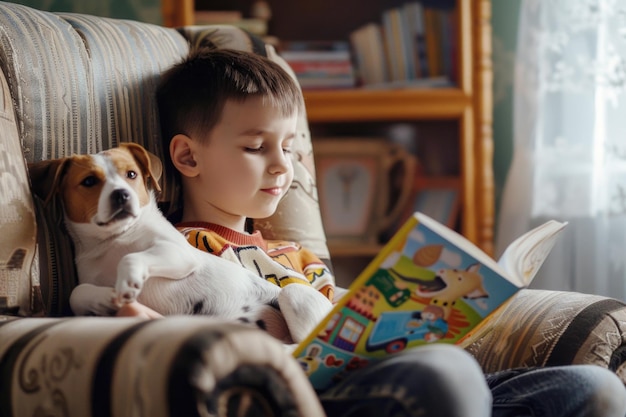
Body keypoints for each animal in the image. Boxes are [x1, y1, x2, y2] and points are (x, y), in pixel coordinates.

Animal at [28, 141, 332, 342]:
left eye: (131, 174)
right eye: (89, 181)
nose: (122, 195)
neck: (114, 240)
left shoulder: (179, 254)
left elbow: (133, 257)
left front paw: (129, 280)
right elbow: (77, 293)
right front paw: (105, 298)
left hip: (292, 294)